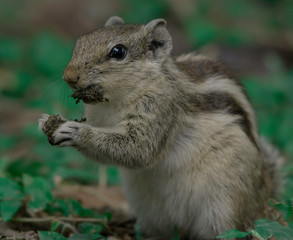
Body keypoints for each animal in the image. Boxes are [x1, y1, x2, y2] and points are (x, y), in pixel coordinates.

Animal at [37, 16, 282, 240]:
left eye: (118, 52)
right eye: (81, 42)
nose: (69, 76)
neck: (116, 101)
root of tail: (263, 200)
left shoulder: (159, 109)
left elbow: (138, 150)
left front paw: (74, 132)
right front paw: (45, 121)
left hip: (225, 204)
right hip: (149, 210)